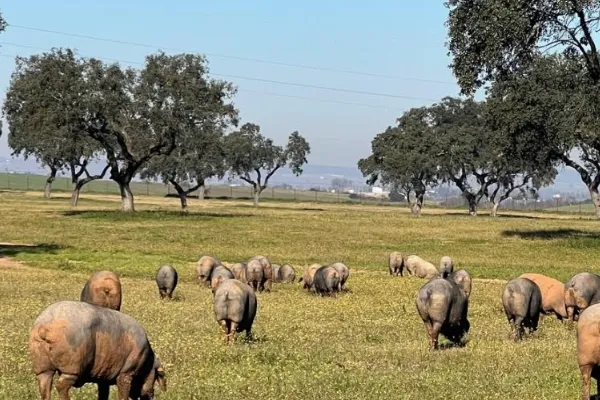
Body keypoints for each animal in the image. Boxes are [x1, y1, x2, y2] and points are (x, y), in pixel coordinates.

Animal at [27, 300, 165, 400]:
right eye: (156, 377)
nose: (151, 396)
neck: (147, 364)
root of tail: (44, 327)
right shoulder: (127, 372)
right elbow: (123, 393)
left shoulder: (103, 377)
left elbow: (103, 394)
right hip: (73, 366)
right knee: (61, 385)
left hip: (41, 365)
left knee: (44, 385)